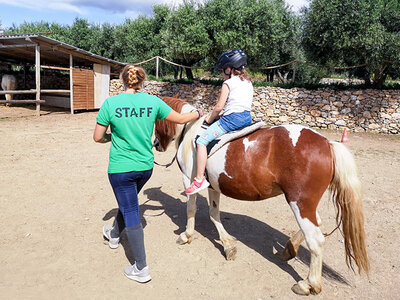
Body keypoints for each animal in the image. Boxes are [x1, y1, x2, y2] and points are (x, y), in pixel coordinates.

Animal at [153, 96, 368, 296]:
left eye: (156, 118)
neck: (191, 132)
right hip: (306, 203)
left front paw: (186, 235)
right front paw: (228, 245)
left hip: (299, 202)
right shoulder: (213, 185)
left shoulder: (189, 179)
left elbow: (191, 209)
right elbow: (214, 213)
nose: (155, 144)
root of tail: (327, 144)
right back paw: (289, 248)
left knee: (315, 240)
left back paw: (309, 284)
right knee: (316, 224)